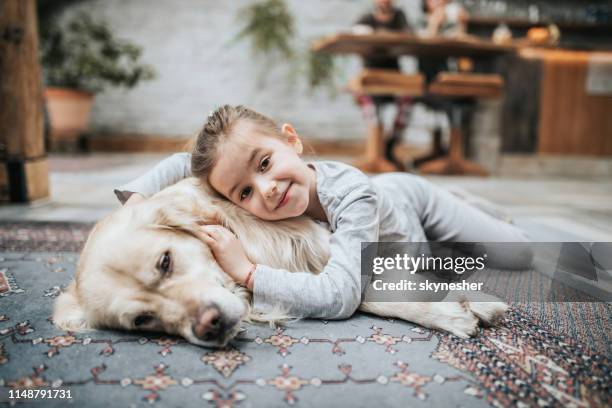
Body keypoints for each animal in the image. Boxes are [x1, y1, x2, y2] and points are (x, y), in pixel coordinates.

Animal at [55, 178, 506, 348]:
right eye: (142, 321)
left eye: (165, 261)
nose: (208, 325)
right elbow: (369, 296)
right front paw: (456, 311)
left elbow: (382, 288)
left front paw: (470, 305)